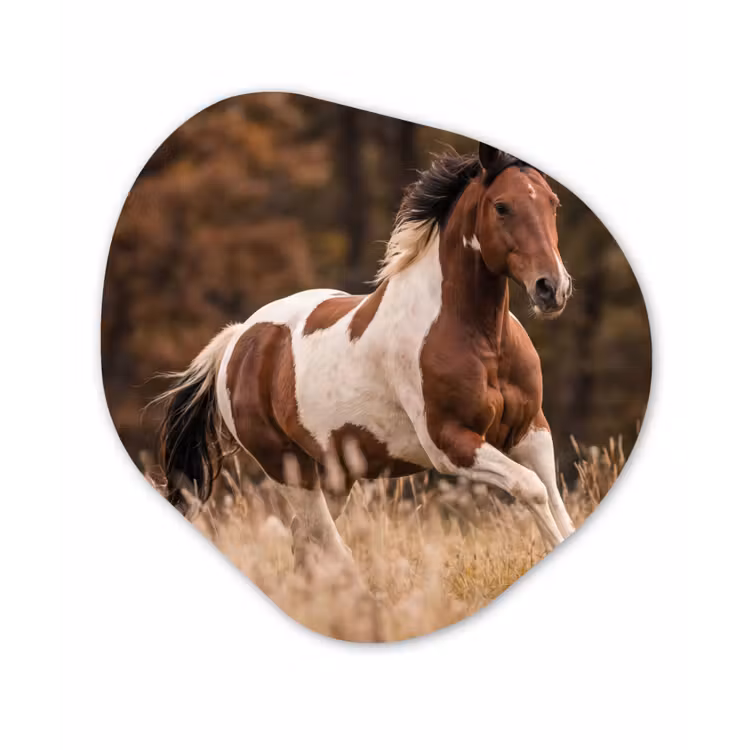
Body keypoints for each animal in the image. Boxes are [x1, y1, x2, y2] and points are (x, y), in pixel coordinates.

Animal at [156, 143, 575, 571]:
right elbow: (533, 489)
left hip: (335, 474)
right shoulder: (450, 444)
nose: (551, 288)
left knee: (306, 539)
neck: (482, 341)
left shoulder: (531, 432)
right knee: (327, 544)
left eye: (553, 203)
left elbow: (556, 504)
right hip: (288, 468)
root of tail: (239, 338)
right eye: (502, 207)